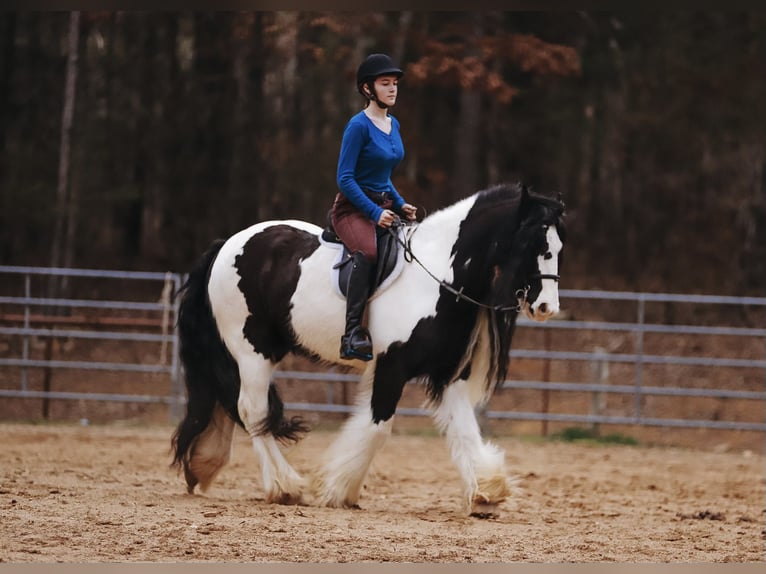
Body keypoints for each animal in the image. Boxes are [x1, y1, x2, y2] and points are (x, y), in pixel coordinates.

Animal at [176, 183, 568, 516]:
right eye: (534, 243)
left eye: (559, 247)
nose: (546, 307)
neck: (438, 276)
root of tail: (228, 243)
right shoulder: (392, 367)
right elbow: (378, 428)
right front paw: (338, 490)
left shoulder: (448, 374)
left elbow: (464, 428)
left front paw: (488, 492)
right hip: (252, 350)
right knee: (251, 409)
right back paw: (284, 486)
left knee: (230, 401)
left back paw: (204, 466)